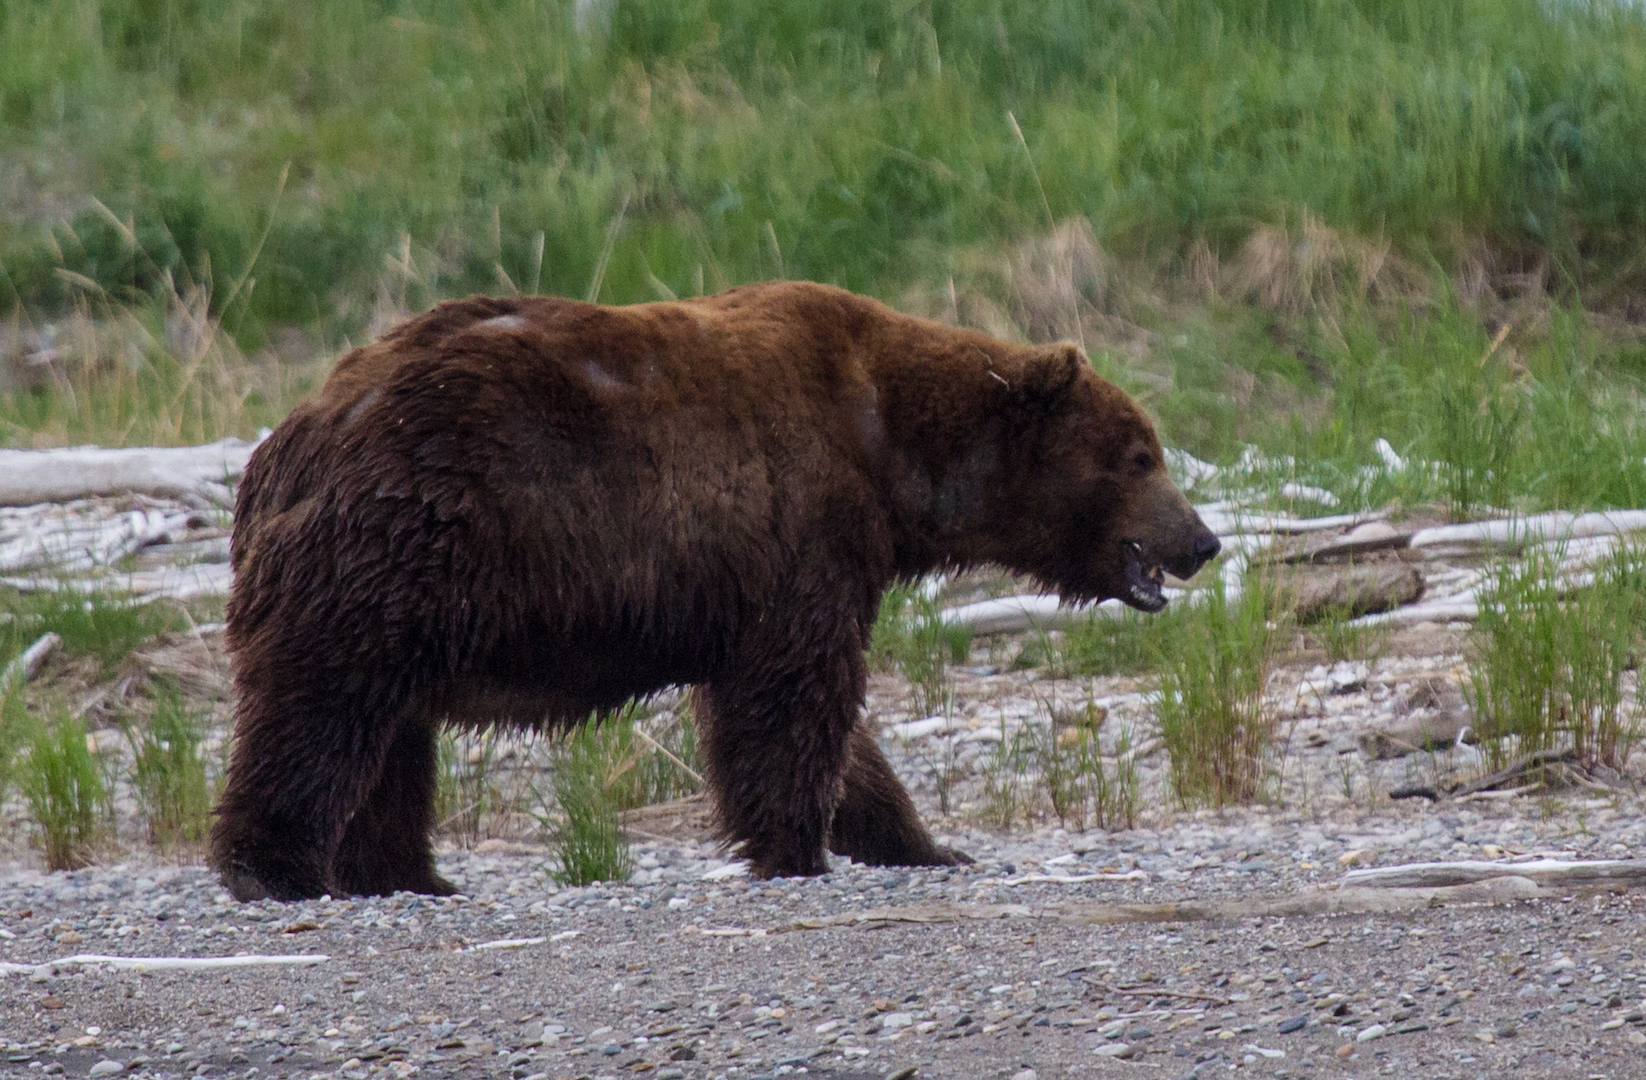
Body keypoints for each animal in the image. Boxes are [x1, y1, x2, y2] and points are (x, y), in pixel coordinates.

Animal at [210, 281, 1220, 902]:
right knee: (324, 705)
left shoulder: (782, 570)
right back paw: (276, 866)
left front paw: (922, 841)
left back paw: (407, 874)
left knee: (388, 730)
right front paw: (797, 849)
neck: (892, 448)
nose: (1204, 540)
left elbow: (828, 721)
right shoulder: (802, 522)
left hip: (404, 579)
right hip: (411, 535)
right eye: (1141, 455)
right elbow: (795, 697)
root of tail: (294, 435)